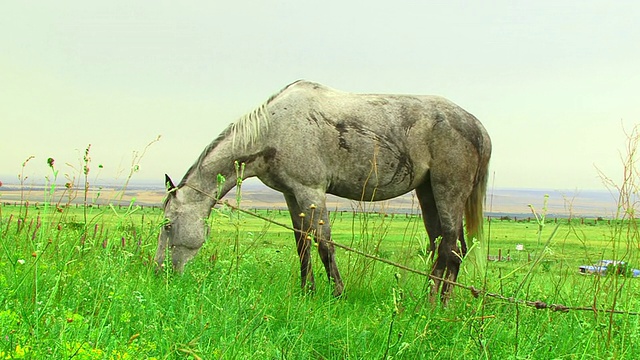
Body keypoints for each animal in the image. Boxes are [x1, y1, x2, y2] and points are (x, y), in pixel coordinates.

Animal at [154, 81, 490, 300]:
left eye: (168, 225)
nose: (158, 272)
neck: (274, 129)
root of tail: (477, 127)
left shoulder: (311, 191)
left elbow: (324, 244)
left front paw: (337, 293)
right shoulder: (292, 195)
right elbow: (302, 244)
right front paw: (308, 292)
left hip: (448, 193)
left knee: (451, 249)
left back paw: (436, 305)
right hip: (428, 193)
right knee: (440, 245)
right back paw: (426, 297)